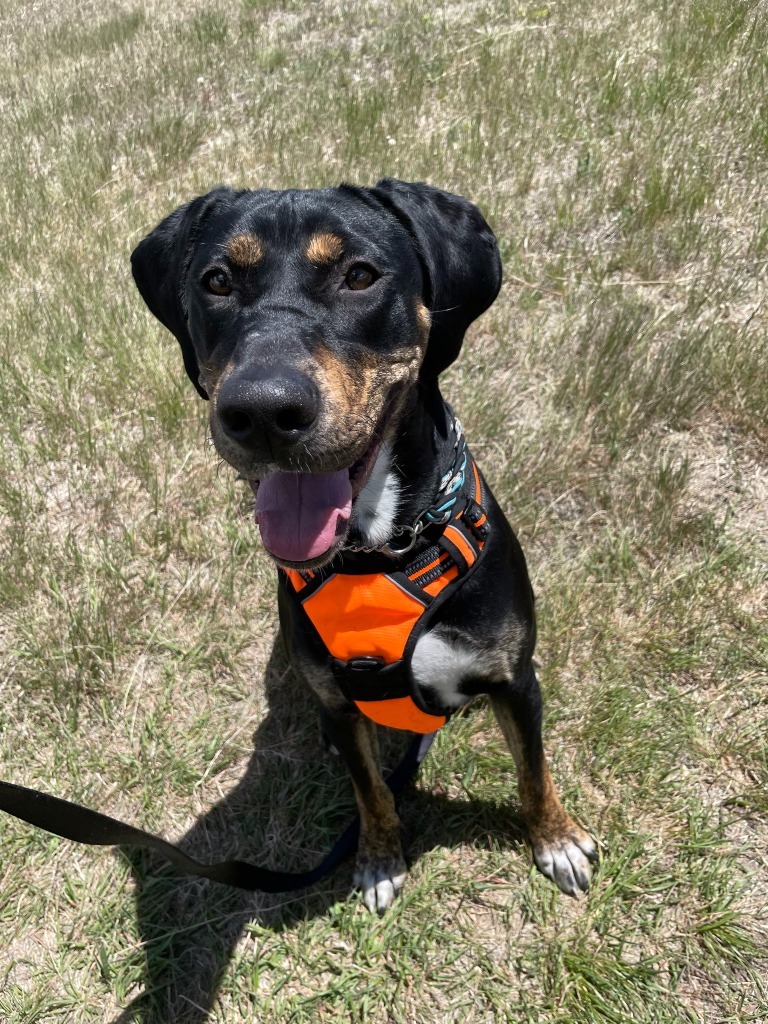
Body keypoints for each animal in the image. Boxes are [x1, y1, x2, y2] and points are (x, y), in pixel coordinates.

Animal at [132, 176, 598, 913]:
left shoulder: (515, 677)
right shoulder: (344, 701)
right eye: (217, 282)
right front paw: (379, 859)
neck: (386, 548)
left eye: (358, 276)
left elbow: (534, 769)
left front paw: (556, 839)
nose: (262, 411)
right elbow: (371, 790)